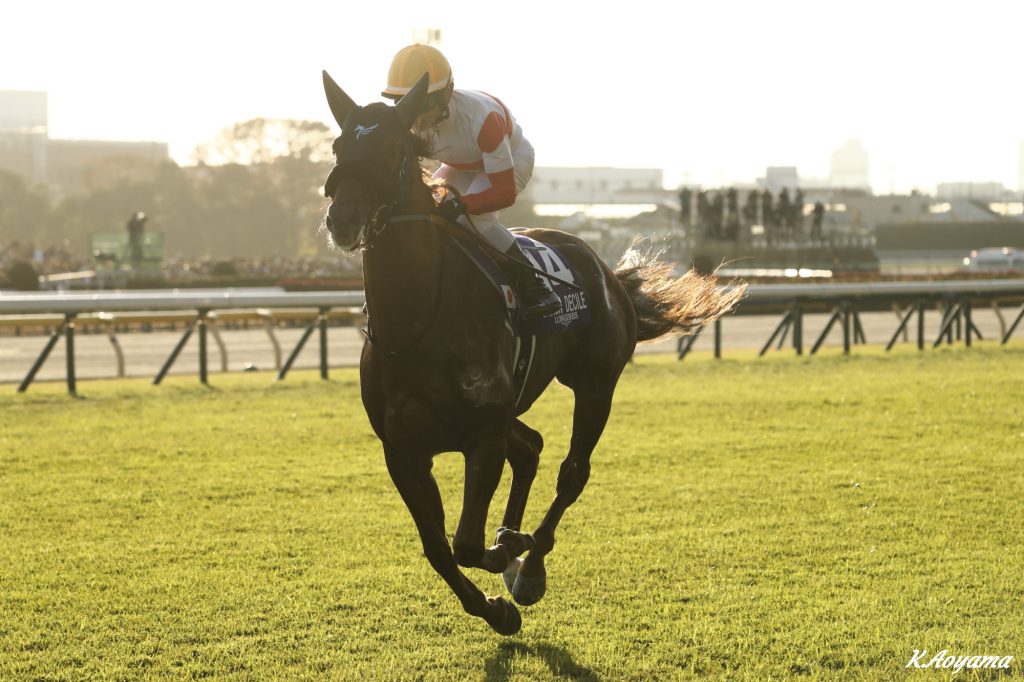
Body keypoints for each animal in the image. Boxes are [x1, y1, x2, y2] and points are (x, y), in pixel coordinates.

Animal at [320, 71, 744, 635]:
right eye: (338, 145)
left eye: (392, 148)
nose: (342, 218)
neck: (417, 319)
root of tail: (606, 271)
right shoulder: (403, 449)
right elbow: (438, 549)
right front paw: (495, 604)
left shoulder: (483, 432)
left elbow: (466, 543)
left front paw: (508, 557)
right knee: (532, 447)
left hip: (595, 385)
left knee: (571, 471)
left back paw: (530, 563)